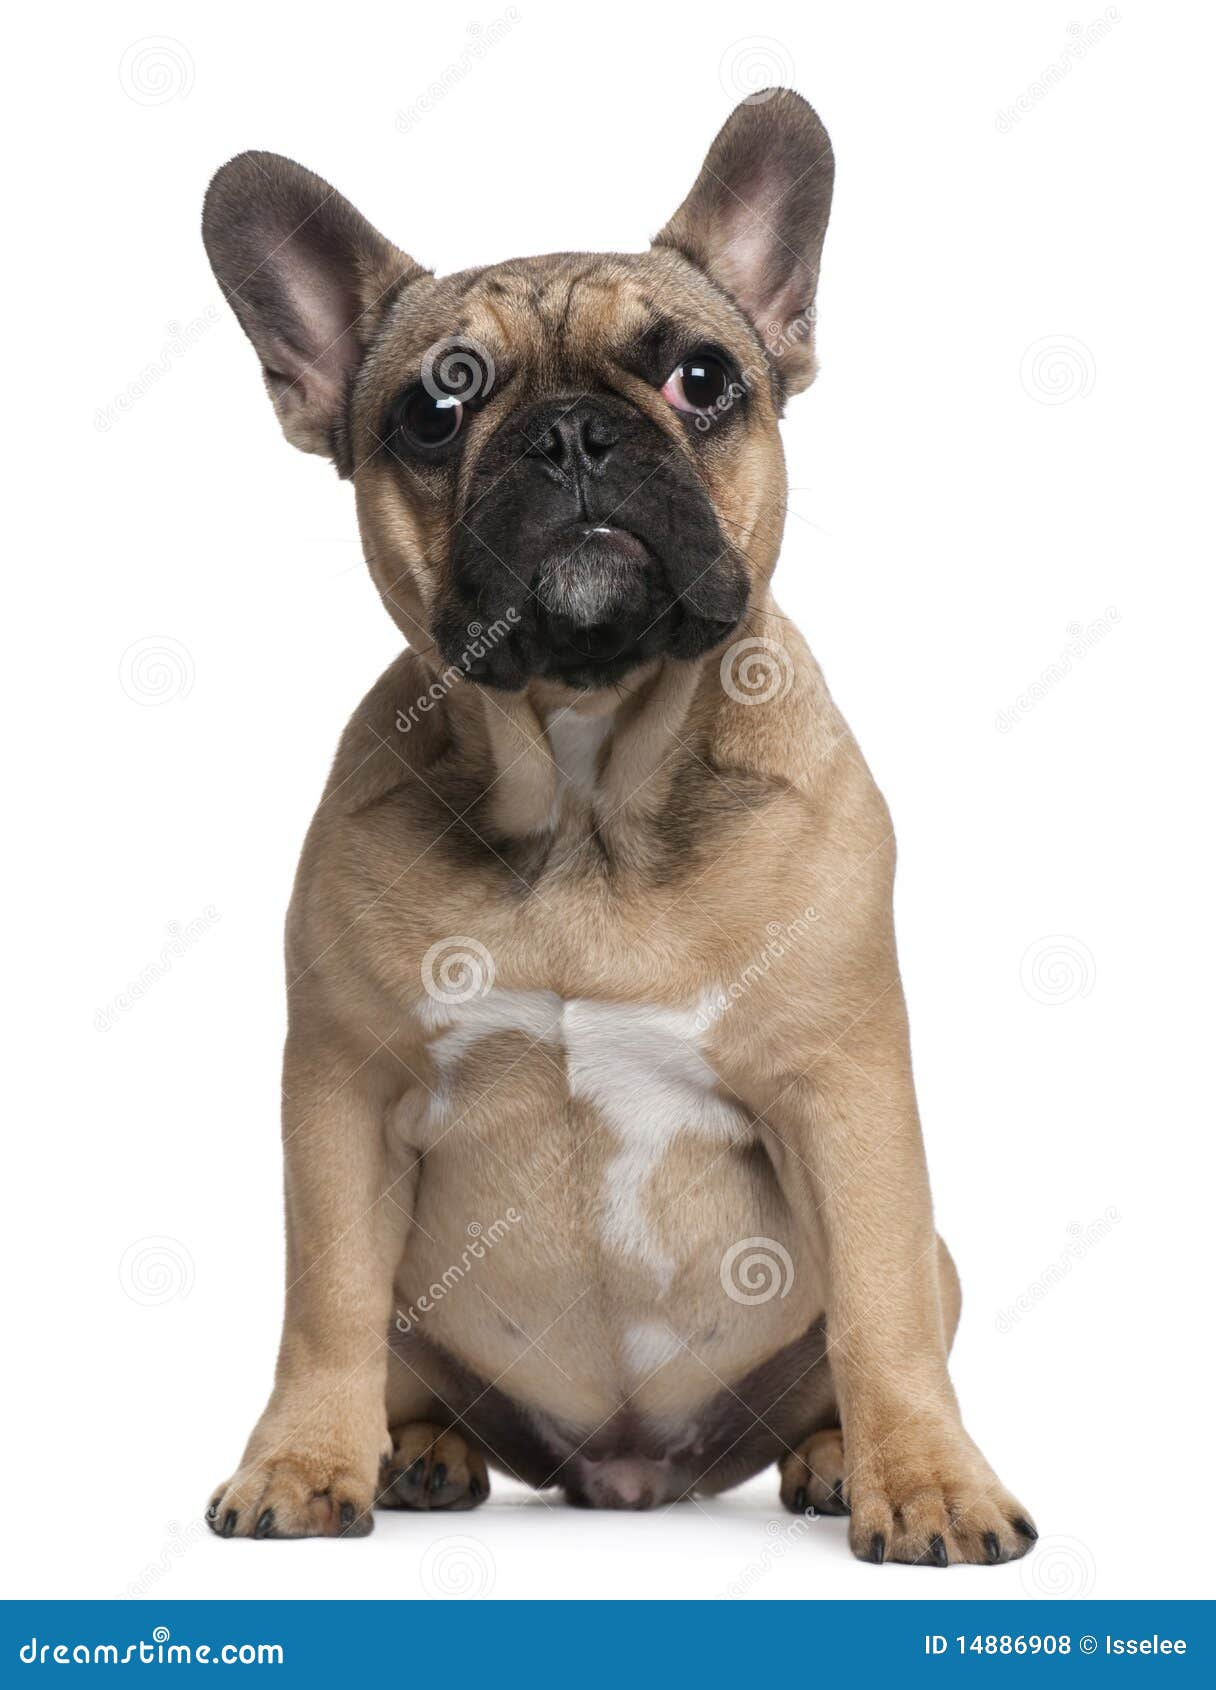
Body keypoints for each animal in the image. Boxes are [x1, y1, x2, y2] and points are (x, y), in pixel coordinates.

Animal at [201, 89, 1033, 1568]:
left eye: (701, 377)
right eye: (435, 408)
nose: (574, 433)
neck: (586, 784)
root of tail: (631, 1473)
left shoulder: (843, 1089)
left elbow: (877, 1308)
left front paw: (928, 1485)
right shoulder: (344, 1092)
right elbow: (327, 1299)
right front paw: (301, 1460)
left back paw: (837, 1460)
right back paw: (418, 1452)